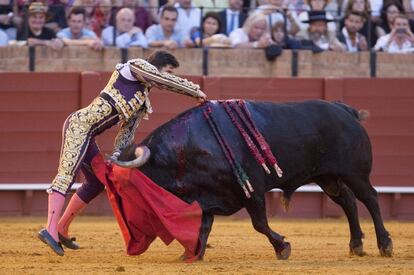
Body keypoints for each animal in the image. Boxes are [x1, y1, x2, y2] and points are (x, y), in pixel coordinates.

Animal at [117, 99, 392, 260]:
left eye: (130, 184)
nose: (131, 231)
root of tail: (345, 111)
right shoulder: (208, 197)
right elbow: (204, 227)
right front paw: (192, 255)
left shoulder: (253, 191)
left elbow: (259, 223)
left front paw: (282, 247)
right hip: (327, 177)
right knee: (348, 201)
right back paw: (356, 244)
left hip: (354, 173)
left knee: (370, 198)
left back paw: (384, 244)